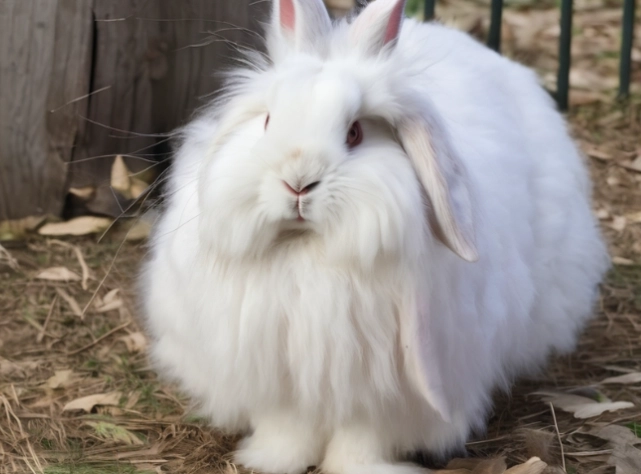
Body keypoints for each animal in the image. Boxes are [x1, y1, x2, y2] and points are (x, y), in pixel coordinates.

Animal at [140, 0, 610, 473]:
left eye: (355, 133)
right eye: (269, 121)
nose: (298, 183)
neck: (309, 249)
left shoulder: (386, 393)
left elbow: (363, 438)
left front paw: (357, 467)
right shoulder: (282, 378)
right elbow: (287, 427)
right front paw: (272, 461)